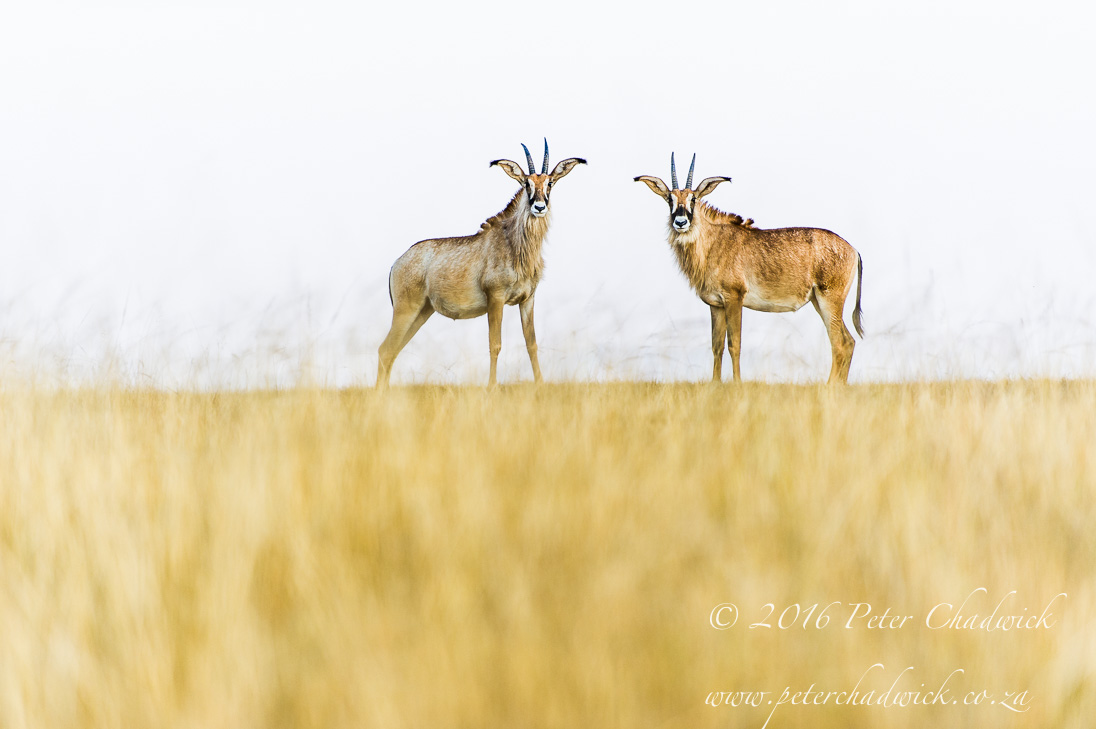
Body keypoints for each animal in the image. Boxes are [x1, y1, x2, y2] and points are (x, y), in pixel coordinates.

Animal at [377, 140, 586, 387]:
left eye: (550, 182)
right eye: (526, 183)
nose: (539, 207)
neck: (515, 245)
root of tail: (397, 263)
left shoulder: (528, 300)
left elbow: (532, 344)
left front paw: (540, 384)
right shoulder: (496, 298)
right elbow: (495, 344)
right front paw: (492, 386)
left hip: (422, 312)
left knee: (392, 351)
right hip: (406, 309)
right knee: (385, 349)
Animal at [635, 153, 864, 383]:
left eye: (693, 198)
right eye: (669, 199)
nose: (680, 222)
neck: (712, 242)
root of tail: (853, 250)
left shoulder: (734, 298)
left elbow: (734, 344)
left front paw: (737, 383)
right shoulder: (716, 305)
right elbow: (716, 346)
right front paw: (715, 383)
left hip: (829, 300)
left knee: (839, 343)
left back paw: (830, 386)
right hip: (819, 301)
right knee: (849, 341)